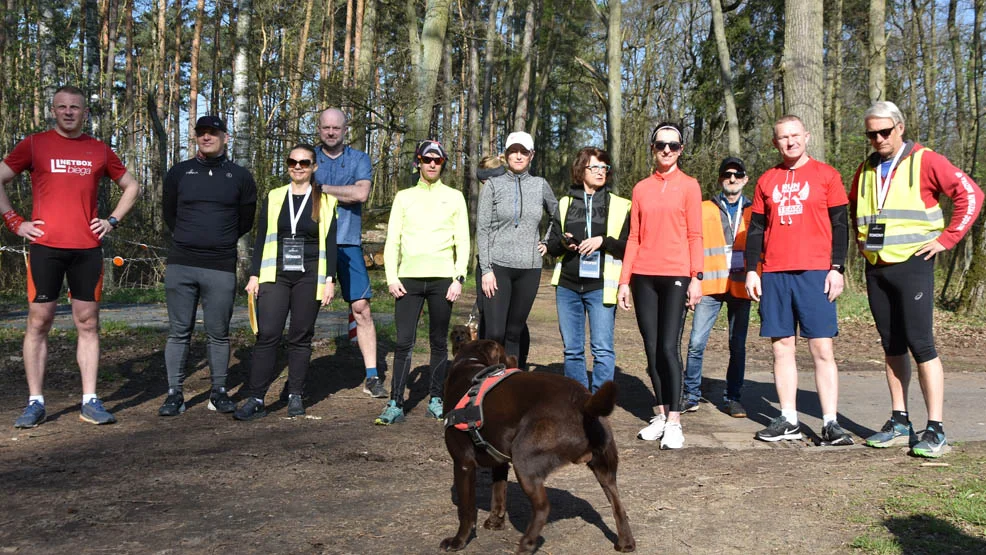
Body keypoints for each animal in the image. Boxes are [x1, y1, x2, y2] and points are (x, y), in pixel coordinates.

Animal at [440, 340, 640, 552]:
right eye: (505, 354)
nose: (515, 358)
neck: (469, 362)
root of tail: (583, 401)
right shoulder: (500, 462)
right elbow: (498, 493)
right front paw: (495, 522)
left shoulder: (463, 463)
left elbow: (466, 510)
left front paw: (457, 542)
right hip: (605, 468)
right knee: (619, 506)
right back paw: (626, 543)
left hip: (524, 459)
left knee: (543, 507)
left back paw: (526, 544)